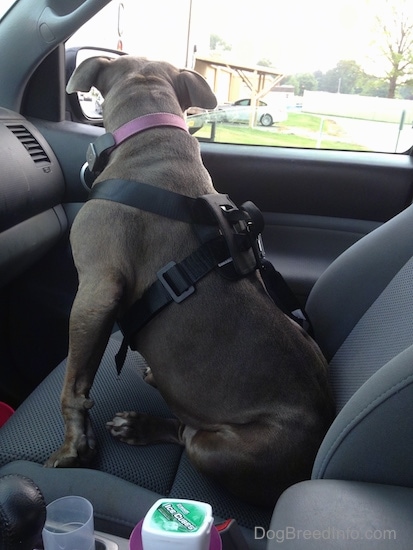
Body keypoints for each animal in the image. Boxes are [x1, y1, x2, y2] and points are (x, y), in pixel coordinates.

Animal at [45, 56, 334, 508]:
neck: (153, 134)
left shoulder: (96, 290)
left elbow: (73, 384)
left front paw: (73, 449)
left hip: (215, 448)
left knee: (188, 433)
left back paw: (141, 426)